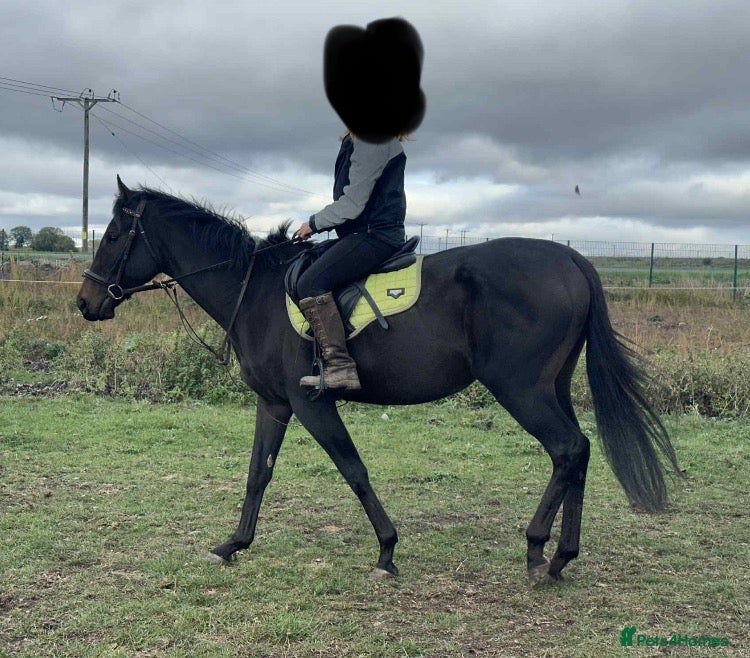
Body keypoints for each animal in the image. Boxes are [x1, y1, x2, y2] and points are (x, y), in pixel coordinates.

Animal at [76, 177, 680, 584]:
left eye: (114, 234)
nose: (85, 303)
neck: (258, 292)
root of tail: (572, 259)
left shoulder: (311, 402)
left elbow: (354, 470)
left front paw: (387, 550)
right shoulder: (274, 404)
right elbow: (257, 474)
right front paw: (234, 543)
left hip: (522, 390)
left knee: (567, 449)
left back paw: (538, 549)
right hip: (551, 387)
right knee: (578, 453)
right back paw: (560, 557)